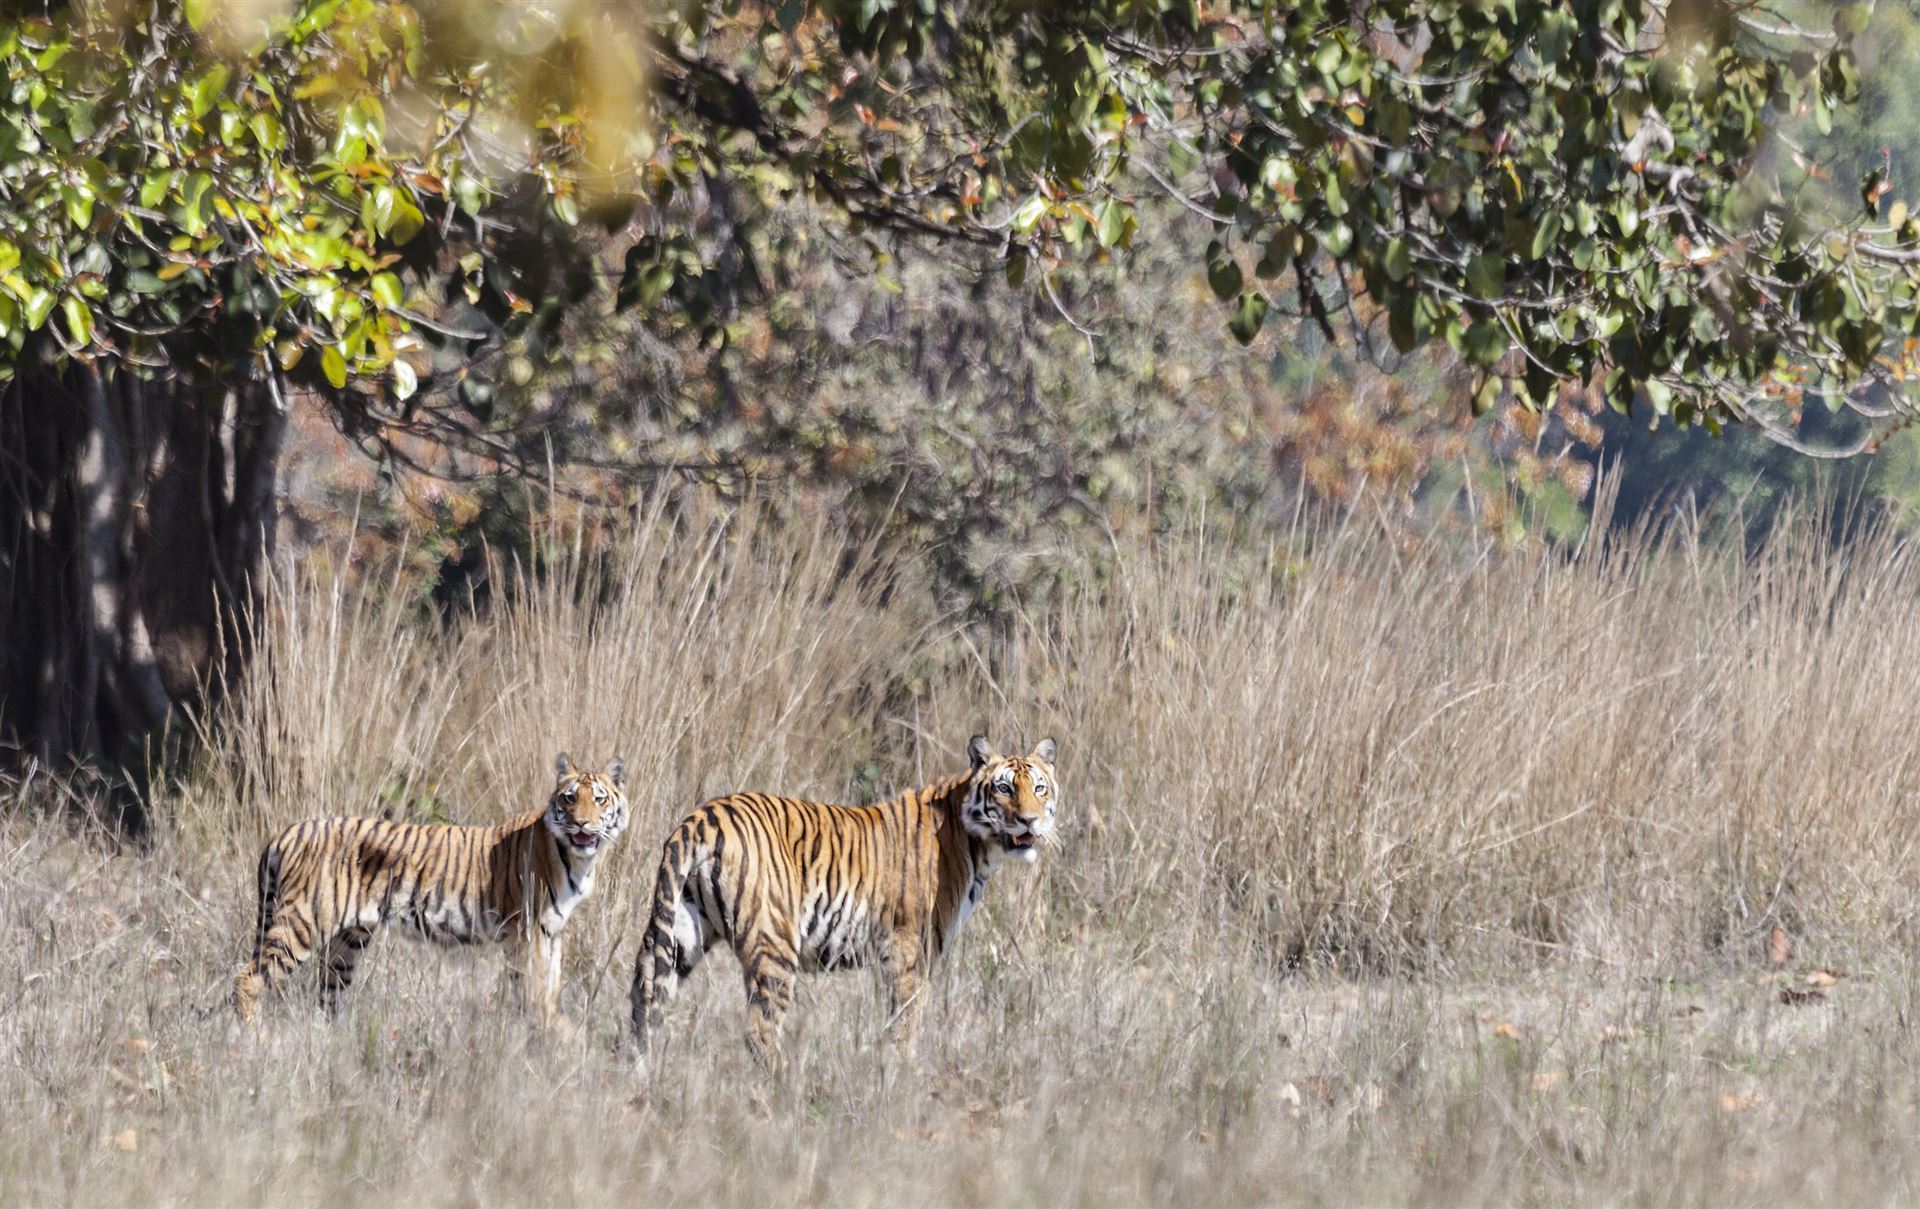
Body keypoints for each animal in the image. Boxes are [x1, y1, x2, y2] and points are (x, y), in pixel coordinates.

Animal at [232, 753, 629, 1031]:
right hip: (301, 924)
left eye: (599, 799)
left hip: (348, 941)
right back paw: (256, 1042)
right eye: (569, 798)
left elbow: (550, 988)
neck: (578, 859)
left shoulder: (552, 931)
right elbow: (536, 993)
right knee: (247, 979)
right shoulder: (528, 931)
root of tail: (287, 831)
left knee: (328, 997)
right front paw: (559, 1038)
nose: (581, 824)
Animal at [629, 734, 1058, 1058]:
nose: (1030, 821)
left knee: (644, 1005)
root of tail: (702, 816)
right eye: (1004, 788)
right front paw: (903, 1078)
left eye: (1039, 788)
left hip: (680, 933)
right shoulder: (910, 950)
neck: (977, 846)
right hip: (773, 945)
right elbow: (905, 1023)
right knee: (759, 1031)